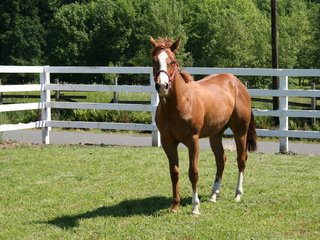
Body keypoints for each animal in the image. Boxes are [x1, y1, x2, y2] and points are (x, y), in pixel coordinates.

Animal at [150, 36, 258, 216]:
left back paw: (237, 194)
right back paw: (214, 194)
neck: (179, 104)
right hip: (215, 135)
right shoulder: (167, 142)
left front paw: (195, 207)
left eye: (172, 61)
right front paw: (174, 206)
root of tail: (237, 83)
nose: (162, 86)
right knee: (221, 160)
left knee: (241, 159)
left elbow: (193, 172)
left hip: (240, 131)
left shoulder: (193, 141)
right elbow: (174, 172)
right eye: (154, 61)